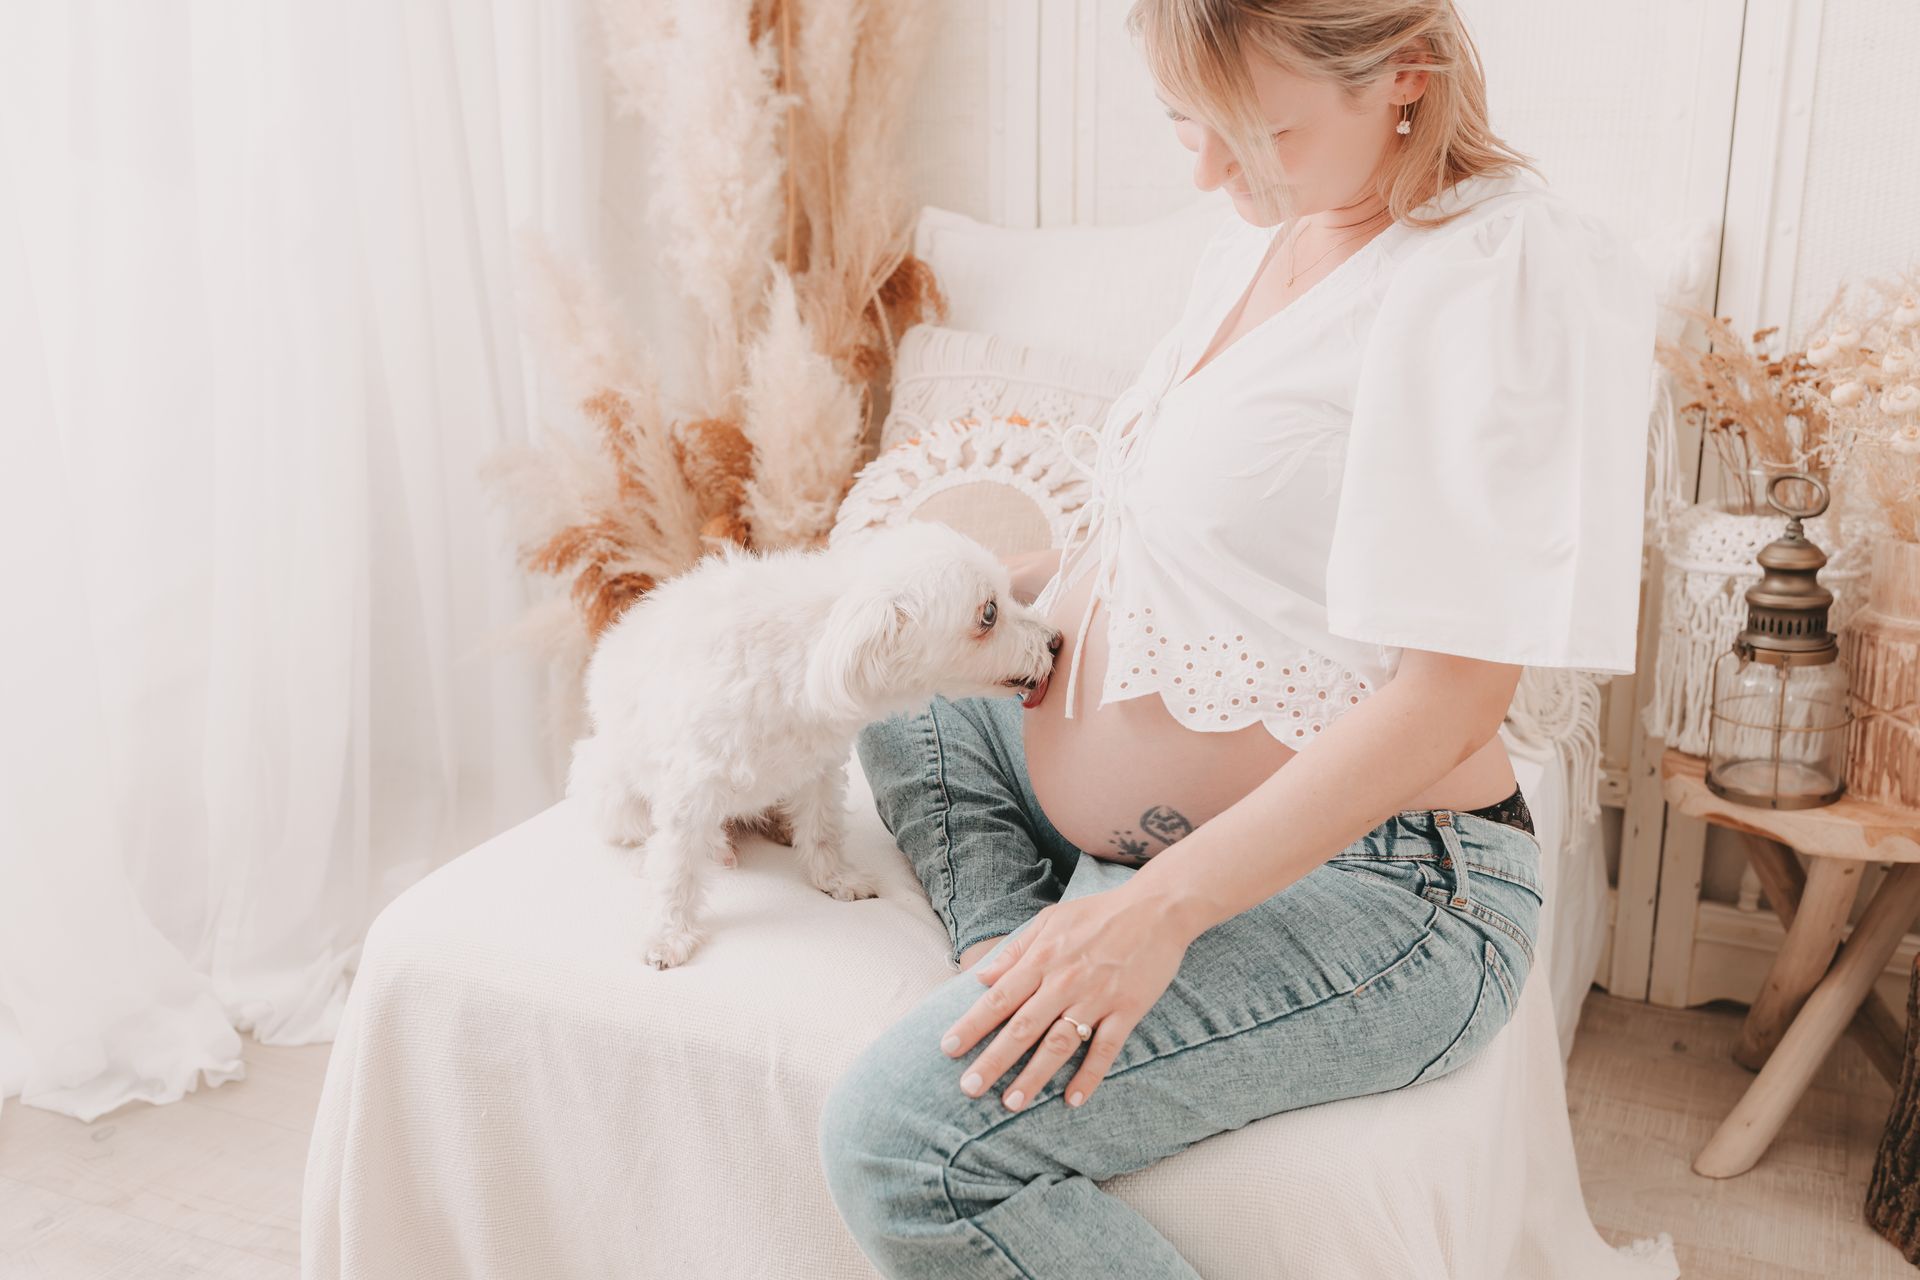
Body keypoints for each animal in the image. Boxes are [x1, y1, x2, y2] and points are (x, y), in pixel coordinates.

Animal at [567, 520, 1064, 969]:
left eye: (1009, 592)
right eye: (989, 613)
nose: (1056, 641)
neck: (810, 649)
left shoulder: (819, 770)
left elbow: (822, 831)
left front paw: (835, 878)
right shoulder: (691, 790)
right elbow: (675, 870)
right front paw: (668, 935)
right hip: (613, 791)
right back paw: (705, 847)